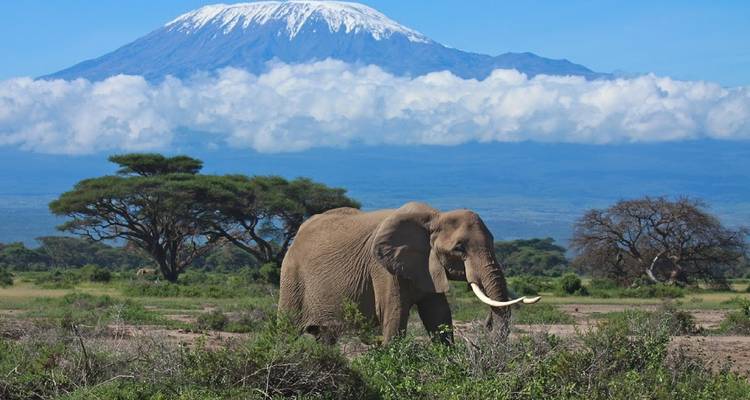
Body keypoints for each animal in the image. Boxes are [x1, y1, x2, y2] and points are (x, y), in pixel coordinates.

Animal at [278, 202, 540, 344]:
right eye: (459, 248)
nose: (486, 324)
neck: (435, 218)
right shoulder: (382, 268)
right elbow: (394, 317)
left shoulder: (427, 266)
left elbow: (439, 316)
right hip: (291, 275)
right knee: (287, 330)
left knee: (325, 338)